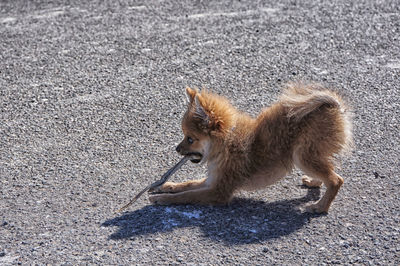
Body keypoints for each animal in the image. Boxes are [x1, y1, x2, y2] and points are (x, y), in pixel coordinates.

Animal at [150, 82, 354, 213]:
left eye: (190, 139)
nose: (177, 149)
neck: (226, 142)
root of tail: (333, 106)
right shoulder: (212, 181)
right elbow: (187, 185)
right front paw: (166, 186)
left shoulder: (218, 192)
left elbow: (186, 196)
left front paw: (162, 199)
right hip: (310, 156)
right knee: (327, 173)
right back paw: (314, 182)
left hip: (302, 156)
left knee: (336, 180)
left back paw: (320, 207)